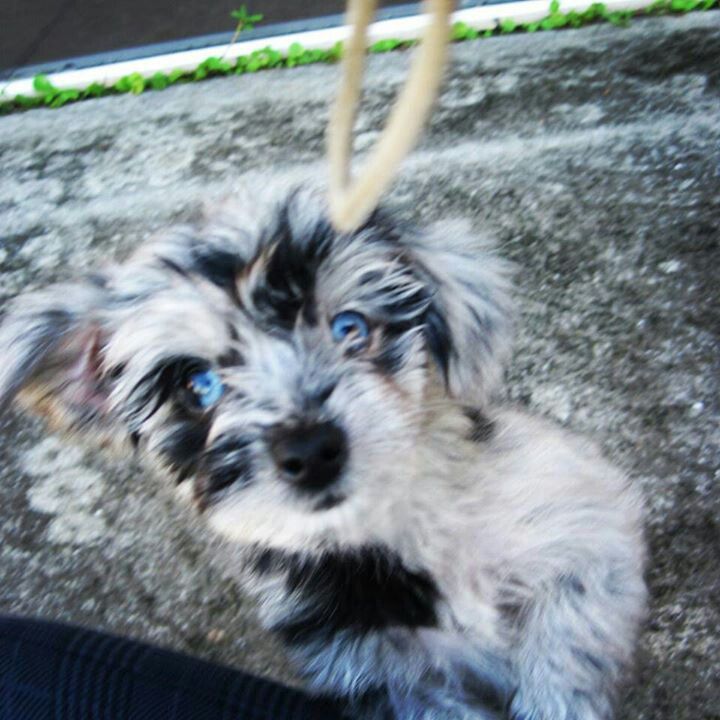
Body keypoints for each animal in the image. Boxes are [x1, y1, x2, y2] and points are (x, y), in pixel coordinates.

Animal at [0, 187, 648, 720]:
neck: (400, 530)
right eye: (197, 385)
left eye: (350, 329)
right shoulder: (377, 668)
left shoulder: (582, 521)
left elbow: (569, 632)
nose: (311, 451)